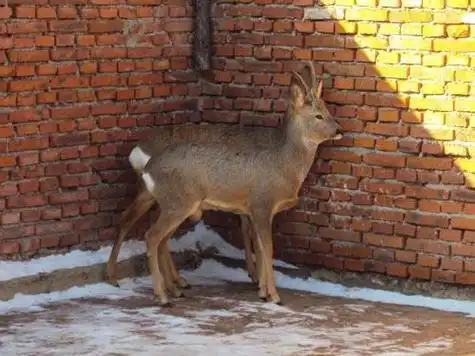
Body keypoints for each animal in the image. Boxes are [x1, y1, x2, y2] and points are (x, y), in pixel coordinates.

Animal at [125, 62, 342, 306]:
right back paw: (162, 296)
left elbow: (261, 247)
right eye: (318, 115)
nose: (338, 130)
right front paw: (274, 296)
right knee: (152, 236)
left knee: (160, 239)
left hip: (175, 205)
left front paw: (263, 291)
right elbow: (268, 248)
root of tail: (148, 168)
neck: (283, 165)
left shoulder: (256, 210)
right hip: (178, 202)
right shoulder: (261, 204)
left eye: (327, 109)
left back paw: (174, 290)